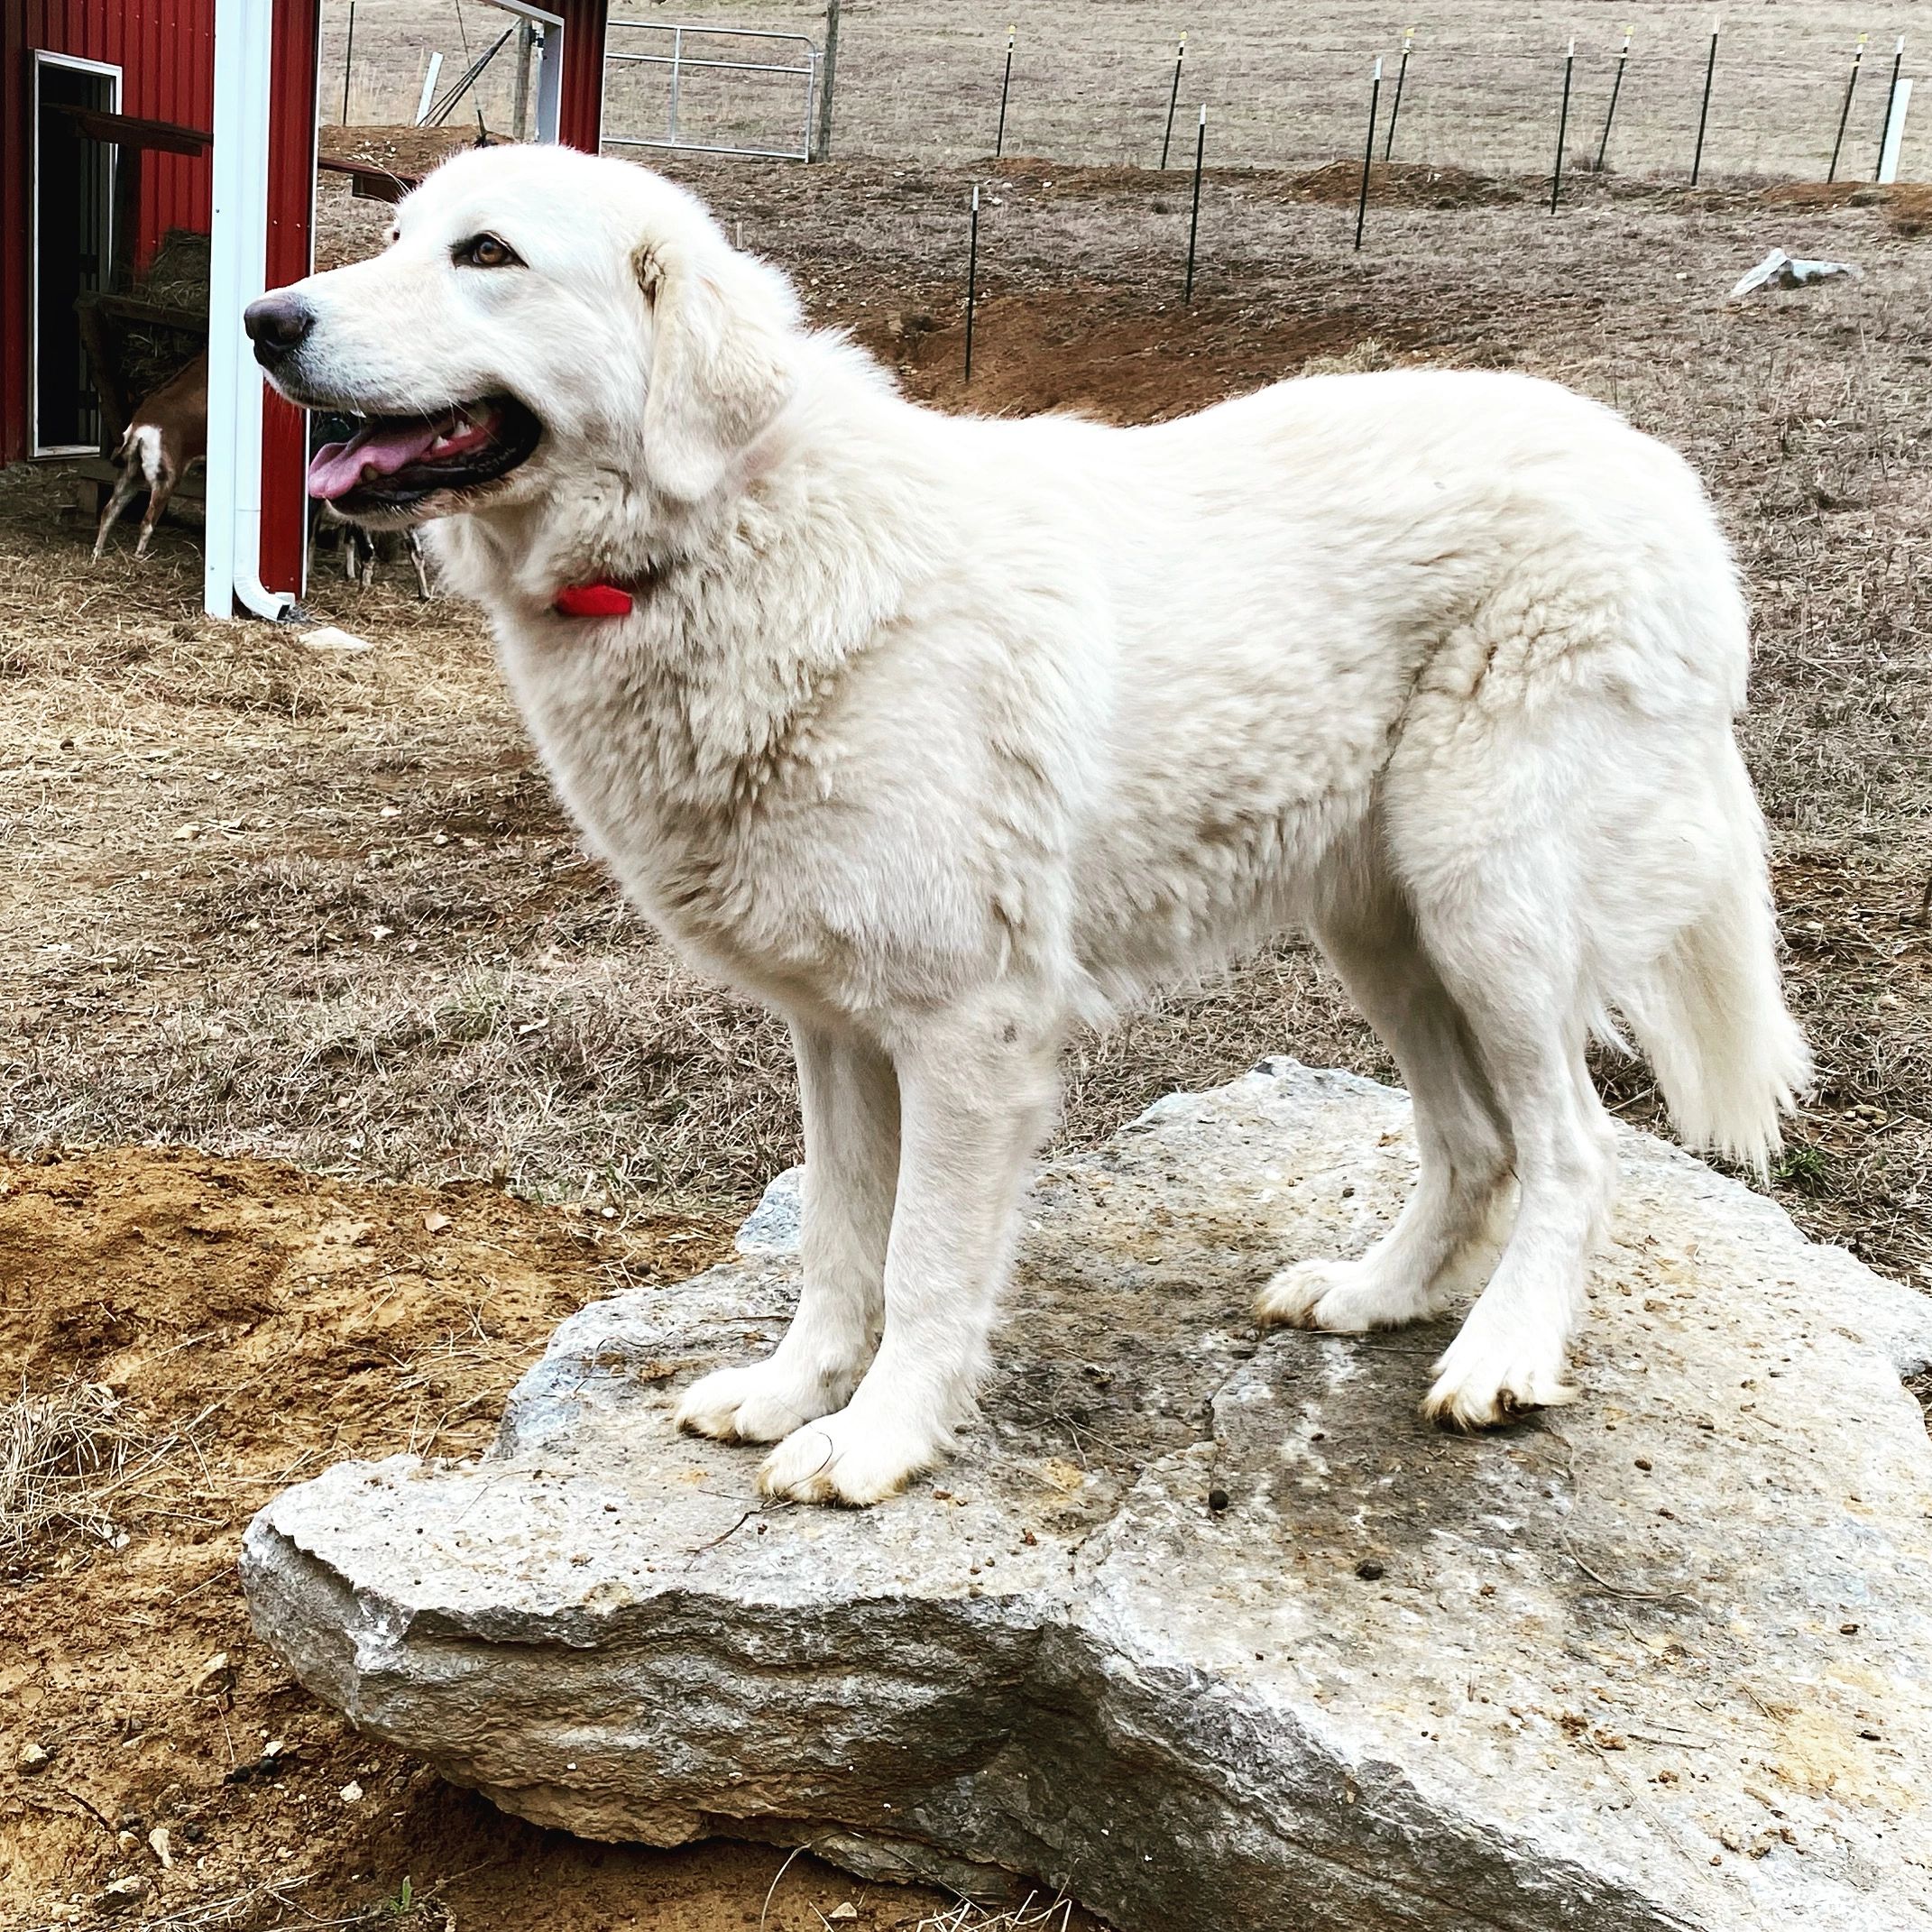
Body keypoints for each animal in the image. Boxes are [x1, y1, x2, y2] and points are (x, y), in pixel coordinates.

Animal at [249, 146, 1800, 1506]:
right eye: (397, 237)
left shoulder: (968, 1029)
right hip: (1383, 926)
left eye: (487, 255)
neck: (721, 539)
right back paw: (1371, 1294)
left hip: (1490, 908)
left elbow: (927, 1261)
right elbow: (835, 1240)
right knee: (1473, 1142)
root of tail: (1659, 473)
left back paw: (1502, 1356)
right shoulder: (834, 1028)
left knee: (1573, 1146)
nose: (267, 320)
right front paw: (789, 1391)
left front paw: (875, 1442)